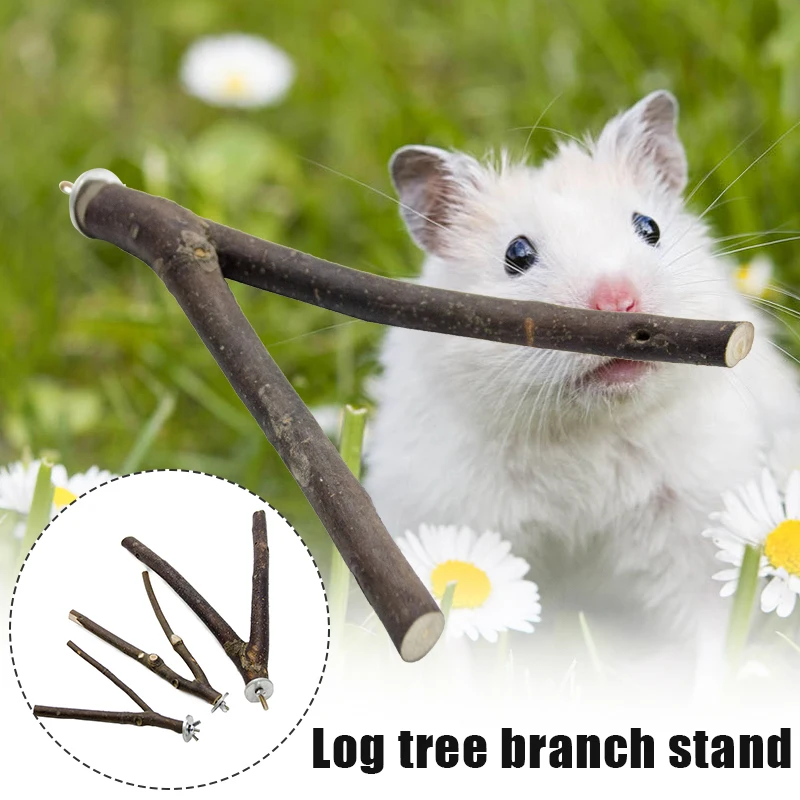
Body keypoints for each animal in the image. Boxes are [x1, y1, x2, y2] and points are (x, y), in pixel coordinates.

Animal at [364, 91, 800, 655]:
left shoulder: (693, 520)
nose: (618, 301)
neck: (584, 427)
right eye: (517, 254)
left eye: (650, 228)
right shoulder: (449, 512)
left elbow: (710, 626)